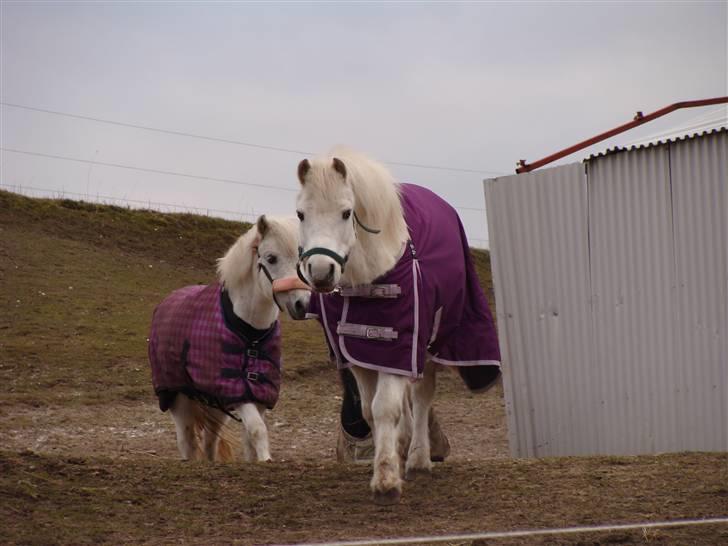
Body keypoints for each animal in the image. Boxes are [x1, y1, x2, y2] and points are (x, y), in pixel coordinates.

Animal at [146, 215, 308, 462]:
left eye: (302, 258)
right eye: (271, 258)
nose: (302, 304)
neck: (250, 335)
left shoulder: (258, 393)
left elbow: (251, 436)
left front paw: (255, 461)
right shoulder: (239, 393)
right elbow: (257, 429)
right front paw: (266, 460)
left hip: (214, 406)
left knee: (209, 442)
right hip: (178, 401)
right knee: (187, 441)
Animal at [294, 148, 500, 502]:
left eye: (346, 213)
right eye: (301, 214)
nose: (321, 273)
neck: (369, 278)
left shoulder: (401, 346)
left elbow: (386, 408)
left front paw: (387, 479)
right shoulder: (359, 356)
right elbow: (368, 411)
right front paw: (386, 459)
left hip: (429, 345)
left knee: (421, 395)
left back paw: (417, 457)